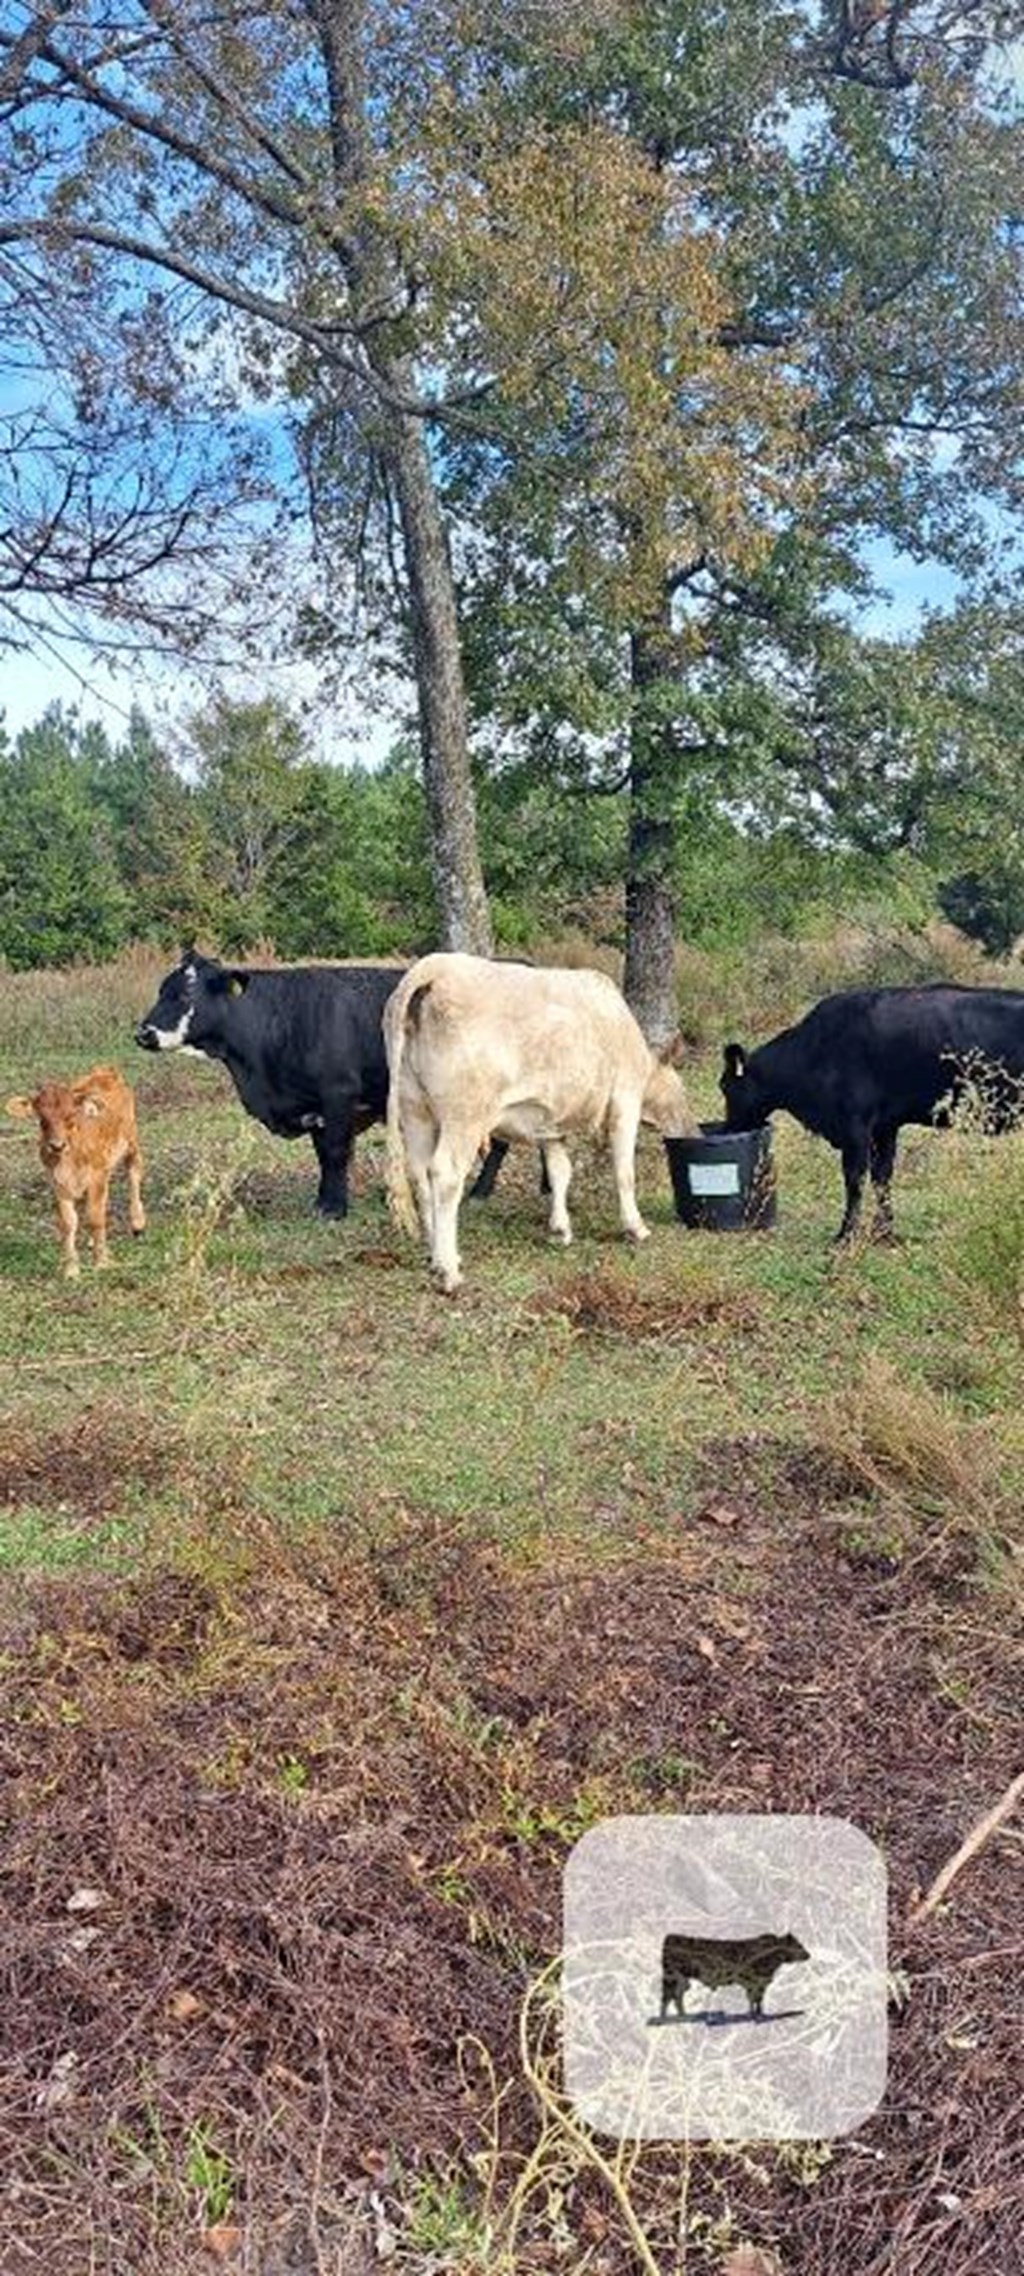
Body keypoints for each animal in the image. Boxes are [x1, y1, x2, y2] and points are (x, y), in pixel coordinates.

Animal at [5, 1065, 145, 1283]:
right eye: (42, 1120)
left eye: (71, 1116)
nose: (57, 1145)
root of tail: (105, 1069)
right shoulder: (58, 1183)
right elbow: (68, 1223)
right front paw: (71, 1269)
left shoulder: (97, 1176)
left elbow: (95, 1218)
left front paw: (101, 1262)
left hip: (131, 1140)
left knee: (134, 1173)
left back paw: (138, 1221)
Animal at [384, 951, 696, 1292]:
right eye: (682, 1091)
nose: (693, 1130)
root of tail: (435, 966)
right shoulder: (624, 1102)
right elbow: (624, 1172)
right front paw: (636, 1227)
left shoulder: (549, 1123)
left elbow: (561, 1172)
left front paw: (560, 1229)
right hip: (464, 1115)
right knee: (444, 1173)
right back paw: (448, 1269)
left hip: (415, 1108)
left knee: (418, 1171)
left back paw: (433, 1255)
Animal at [719, 983, 1024, 1238]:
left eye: (724, 1086)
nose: (727, 1128)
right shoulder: (885, 1126)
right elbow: (882, 1177)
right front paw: (884, 1232)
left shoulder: (855, 1125)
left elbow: (855, 1181)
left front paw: (845, 1234)